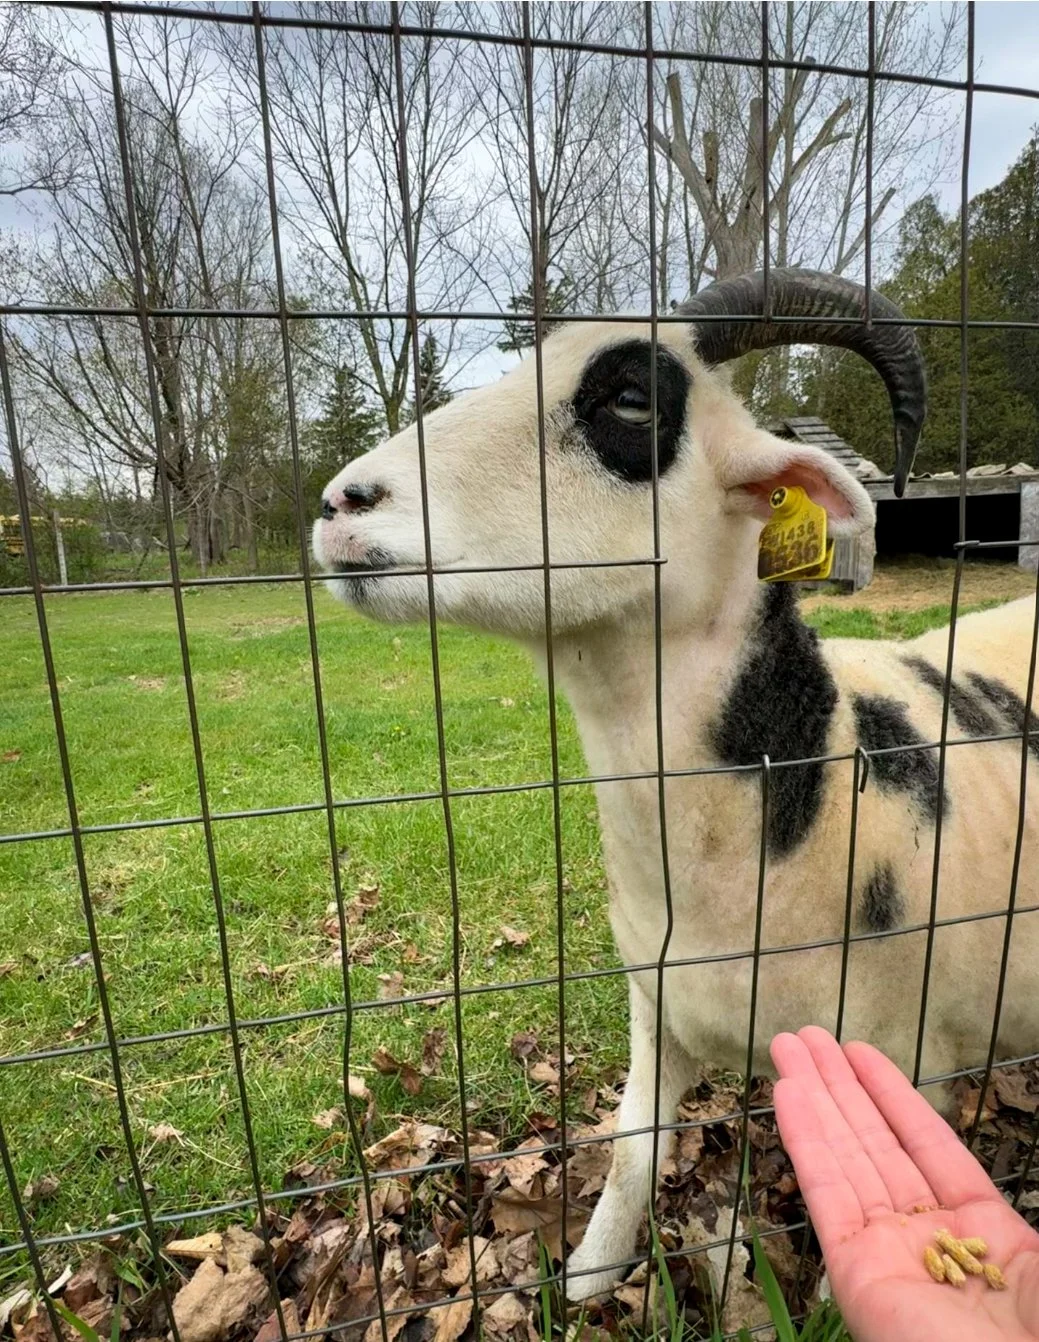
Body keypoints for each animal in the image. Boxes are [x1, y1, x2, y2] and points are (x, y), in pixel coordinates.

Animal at [313, 268, 1039, 1301]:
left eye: (629, 400)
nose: (343, 503)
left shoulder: (910, 1065)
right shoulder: (657, 1010)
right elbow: (630, 1147)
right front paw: (586, 1277)